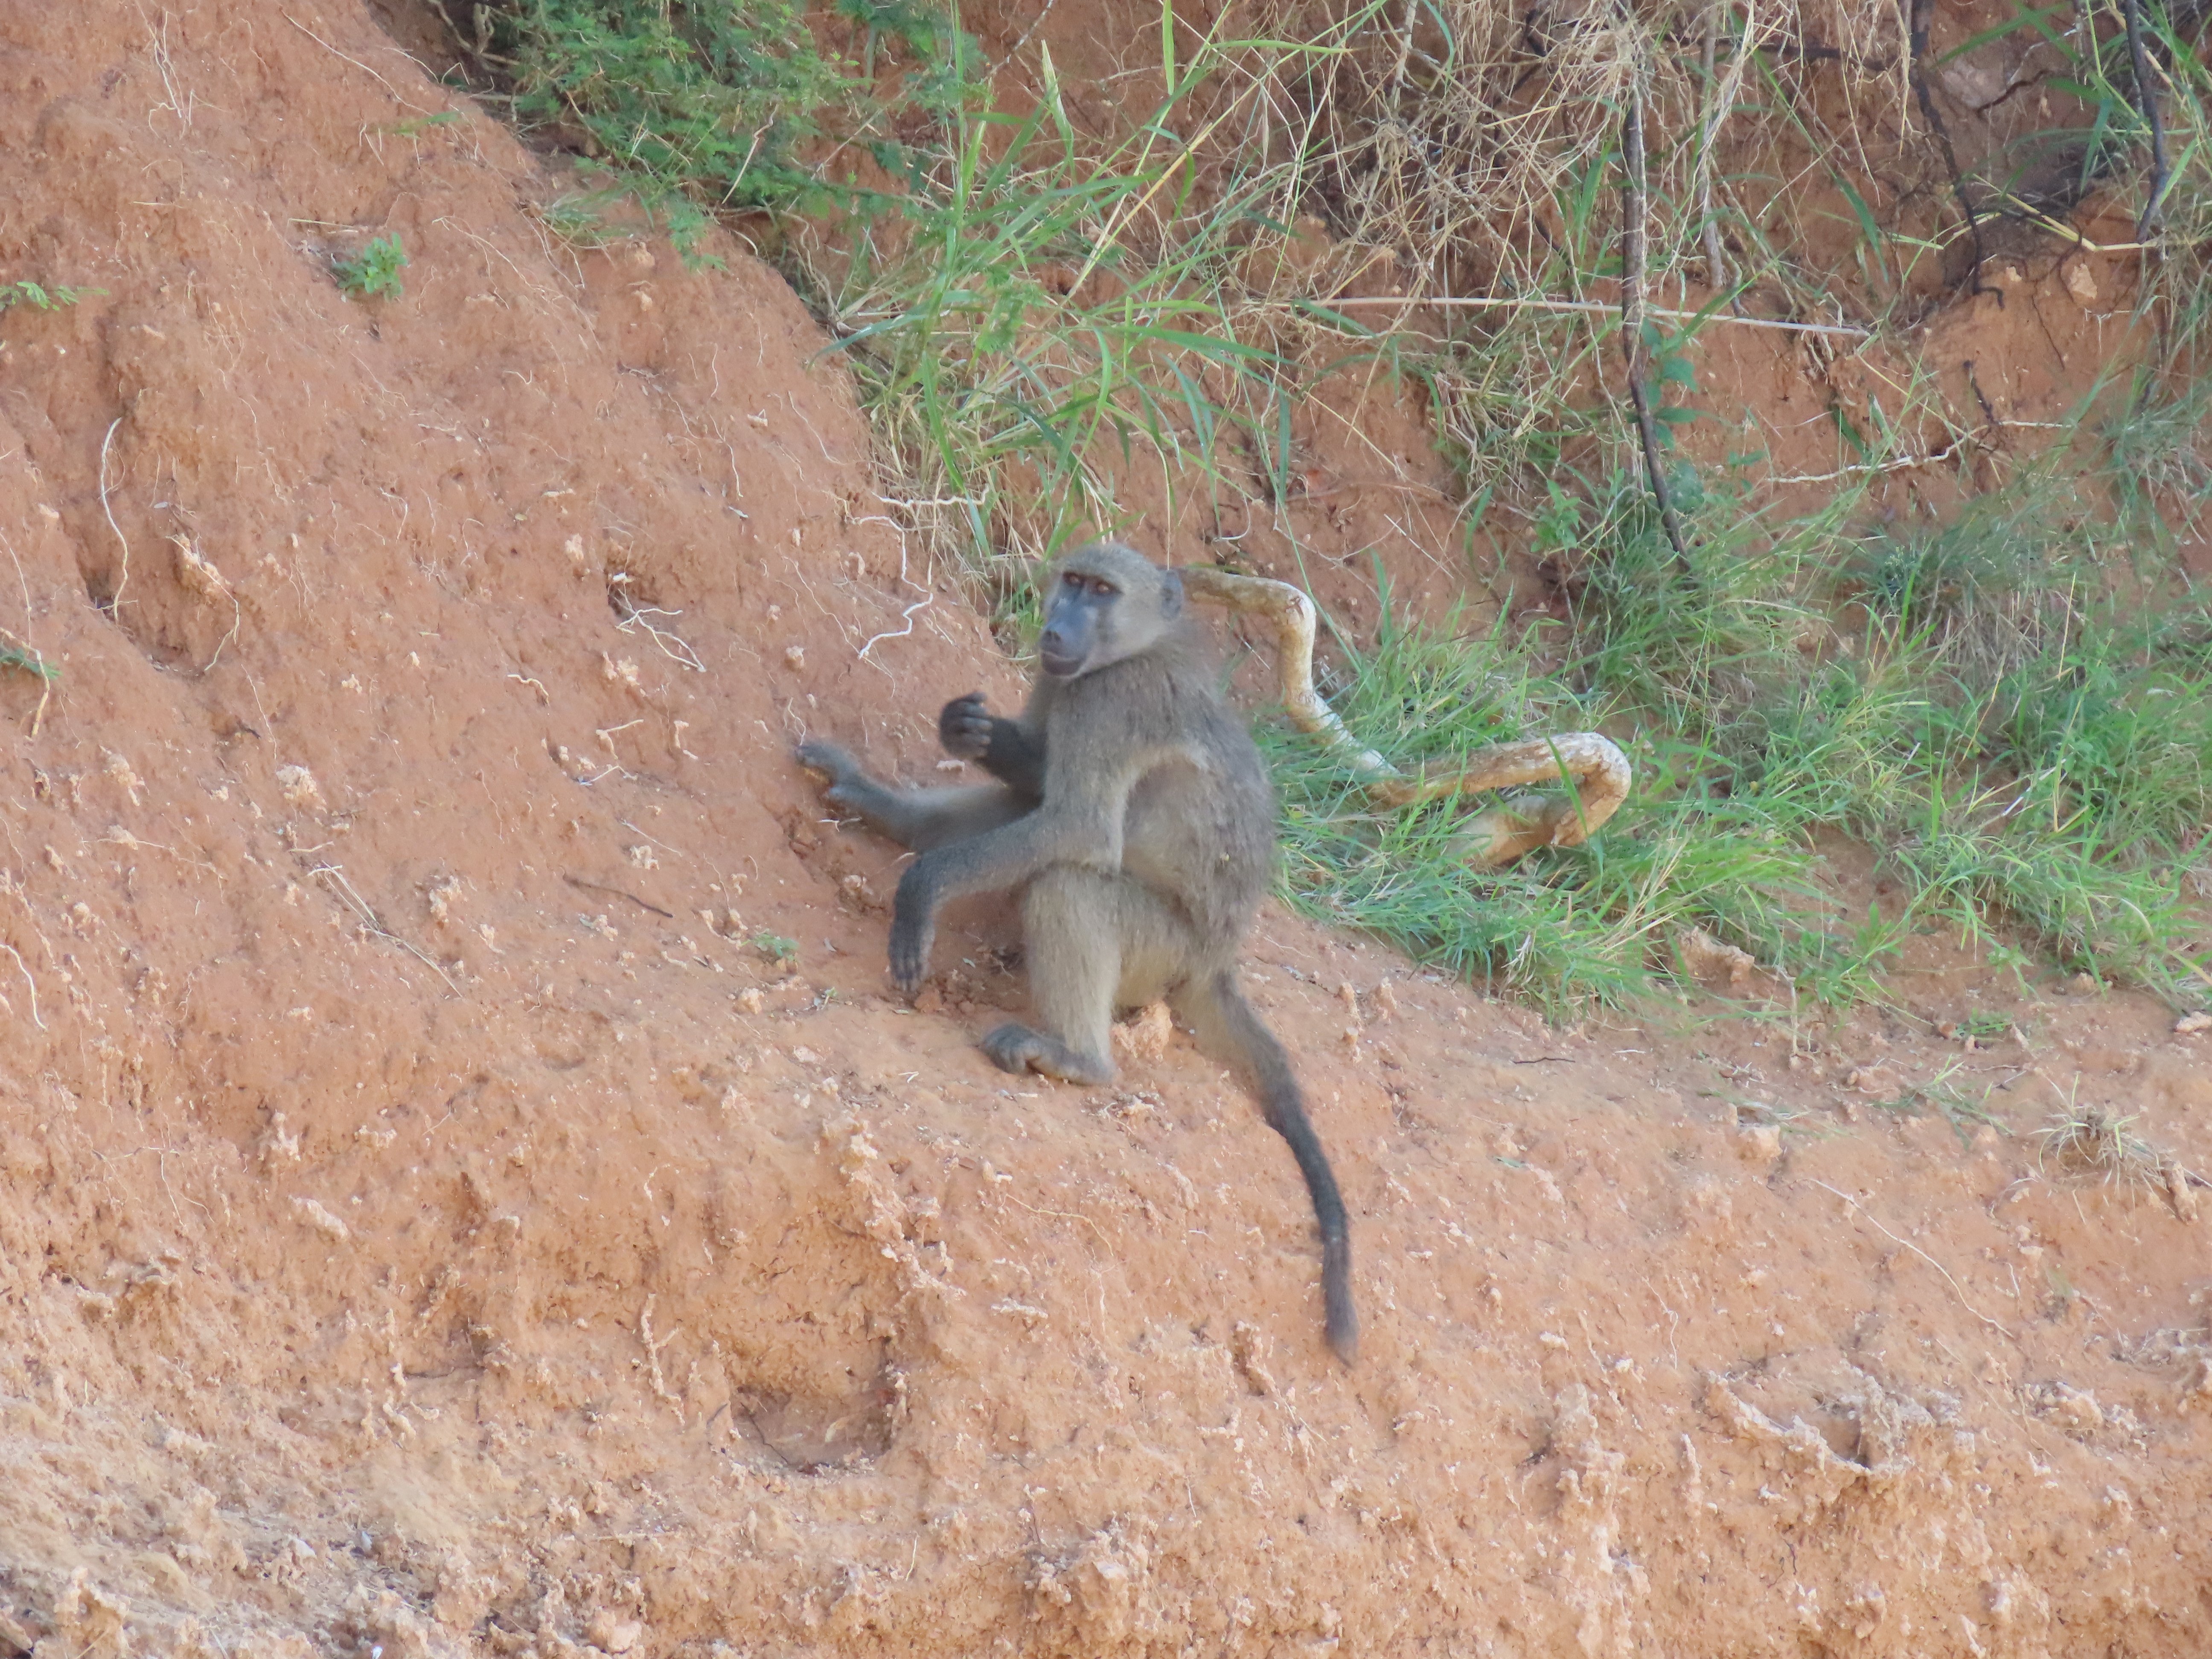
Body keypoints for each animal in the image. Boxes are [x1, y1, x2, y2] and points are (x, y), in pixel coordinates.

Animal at [797, 541, 1357, 1363]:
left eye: (1101, 591)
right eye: (1071, 582)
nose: (1056, 628)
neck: (1135, 648)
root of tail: (1216, 960)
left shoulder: (1109, 702)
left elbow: (1078, 828)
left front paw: (920, 894)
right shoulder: (1063, 686)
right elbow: (1040, 790)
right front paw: (978, 735)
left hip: (1160, 951)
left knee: (1069, 882)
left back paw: (1077, 1058)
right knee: (1027, 815)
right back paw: (892, 812)